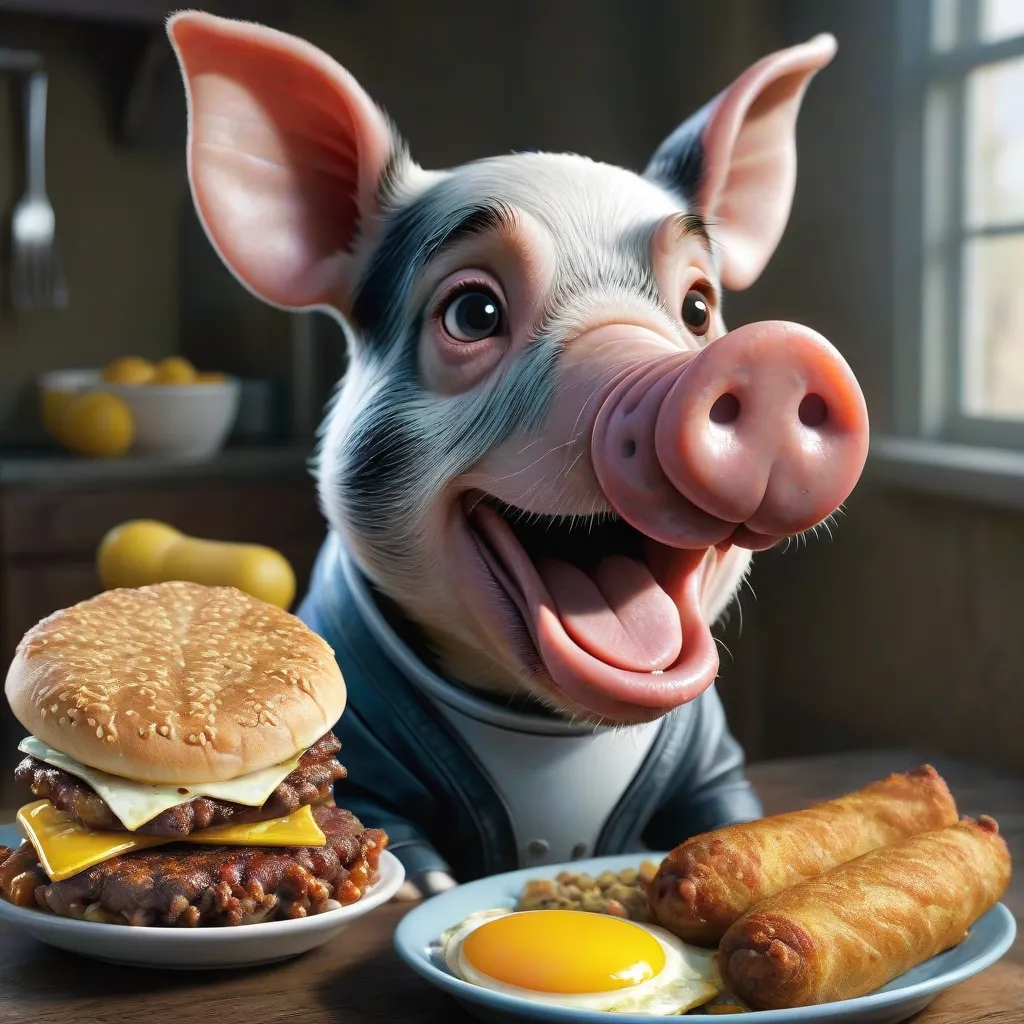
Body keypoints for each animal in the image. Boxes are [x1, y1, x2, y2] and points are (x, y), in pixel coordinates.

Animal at [169, 12, 872, 901]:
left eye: (698, 308)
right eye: (473, 312)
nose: (775, 354)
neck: (547, 735)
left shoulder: (713, 756)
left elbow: (728, 809)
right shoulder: (367, 754)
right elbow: (403, 845)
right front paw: (433, 891)